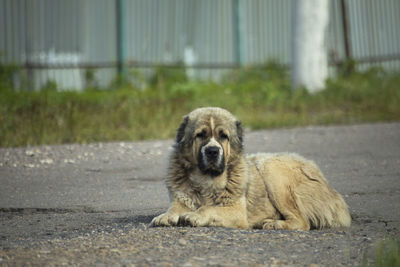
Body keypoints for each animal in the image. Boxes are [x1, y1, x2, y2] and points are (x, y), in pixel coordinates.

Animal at [150, 108, 350, 231]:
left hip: (270, 167)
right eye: (200, 135)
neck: (206, 179)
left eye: (223, 136)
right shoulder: (181, 201)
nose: (212, 151)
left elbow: (208, 208)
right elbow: (175, 209)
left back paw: (274, 224)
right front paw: (166, 216)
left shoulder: (235, 211)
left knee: (302, 222)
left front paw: (195, 216)